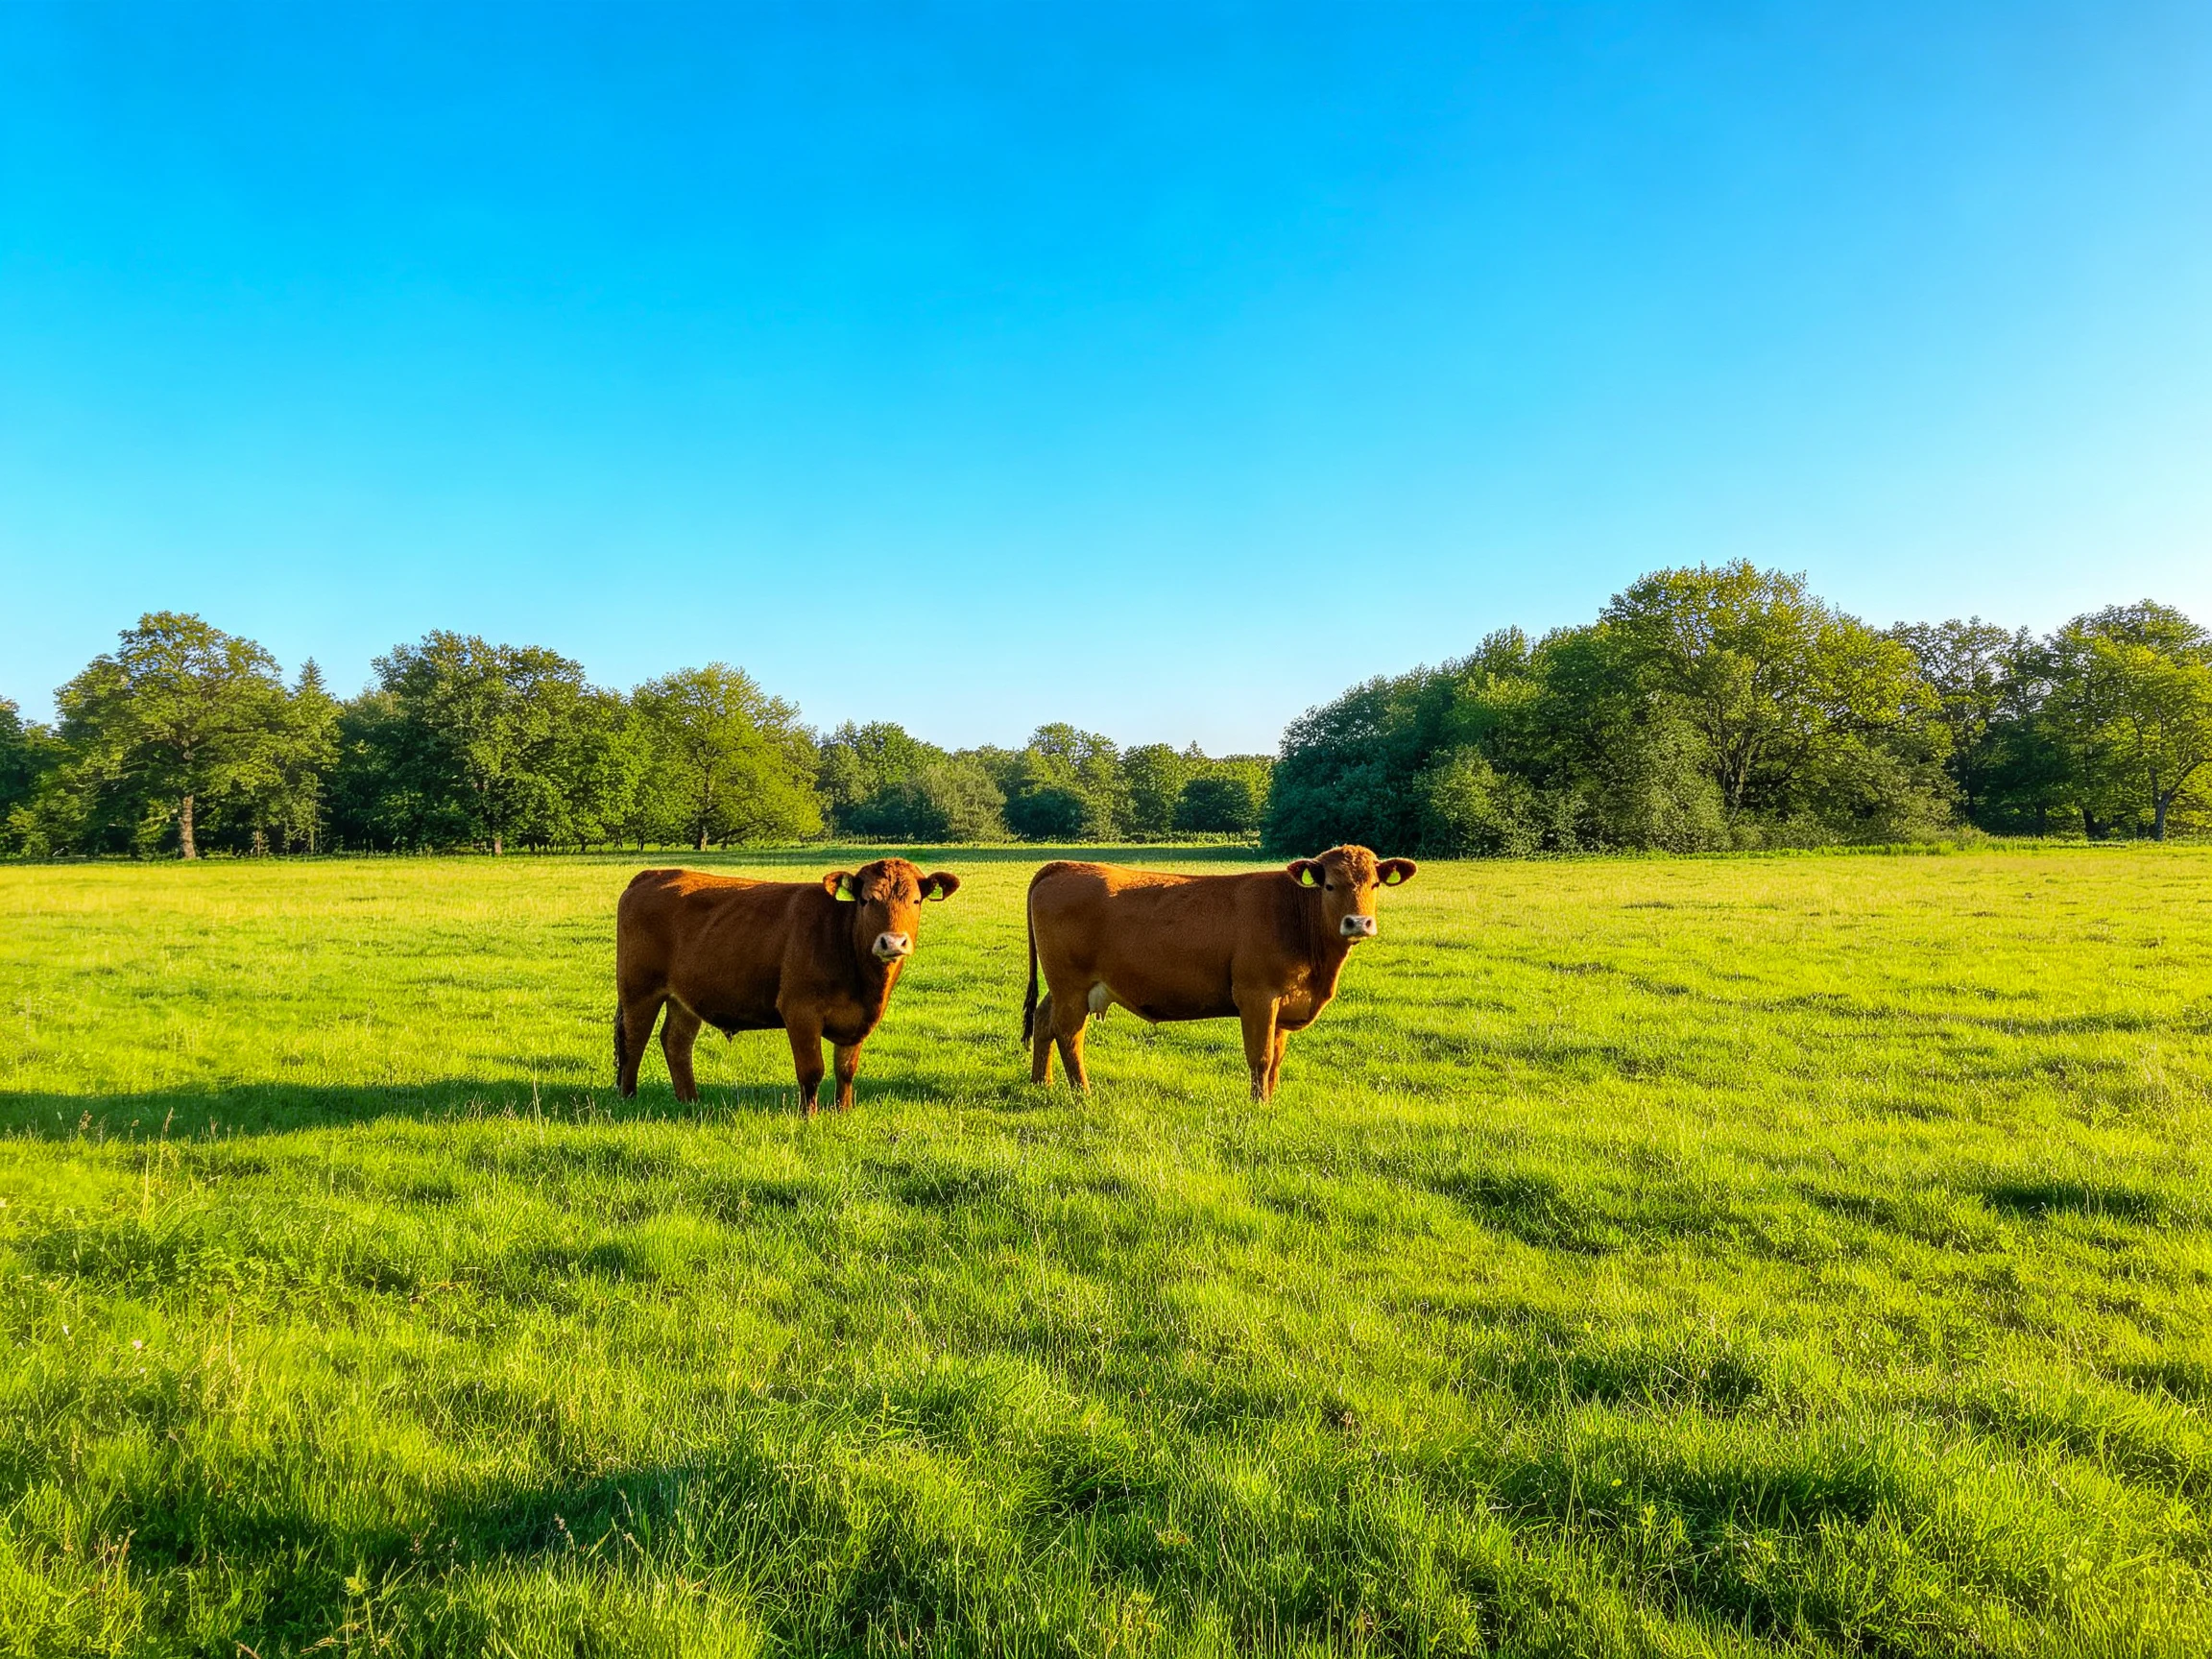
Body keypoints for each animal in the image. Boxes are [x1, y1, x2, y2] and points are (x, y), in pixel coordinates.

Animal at [615, 859, 960, 1114]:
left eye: (916, 900)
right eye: (865, 900)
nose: (893, 941)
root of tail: (654, 874)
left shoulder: (859, 1020)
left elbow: (846, 1069)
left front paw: (844, 1112)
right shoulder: (800, 1011)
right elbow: (812, 1070)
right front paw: (809, 1116)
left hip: (685, 998)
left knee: (676, 1042)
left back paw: (690, 1101)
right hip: (638, 990)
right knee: (634, 1039)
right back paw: (628, 1097)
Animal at [1022, 844, 1416, 1100]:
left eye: (1375, 884)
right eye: (1330, 885)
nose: (1358, 923)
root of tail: (1065, 865)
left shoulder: (1284, 1001)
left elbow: (1277, 1059)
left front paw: (1271, 1102)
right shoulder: (1257, 996)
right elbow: (1261, 1057)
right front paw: (1258, 1107)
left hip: (1064, 987)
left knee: (1043, 1020)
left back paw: (1042, 1083)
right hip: (1071, 985)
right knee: (1069, 1034)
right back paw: (1083, 1094)